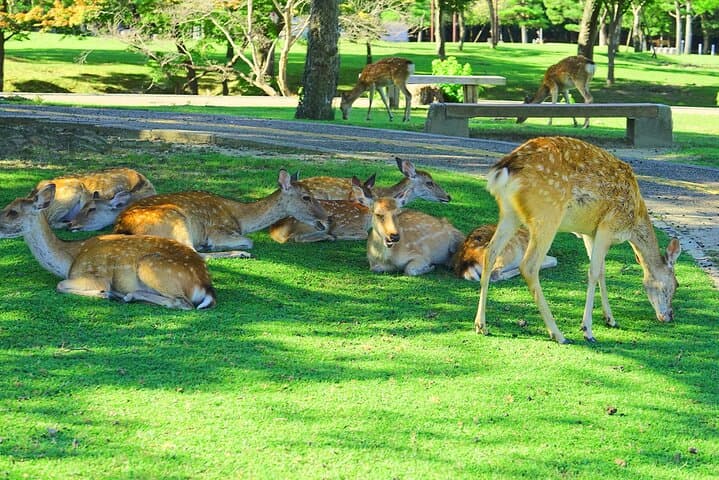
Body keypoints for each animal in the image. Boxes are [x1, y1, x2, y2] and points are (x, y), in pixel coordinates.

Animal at [0, 184, 215, 310]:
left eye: (13, 212)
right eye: (7, 207)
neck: (69, 259)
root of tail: (205, 285)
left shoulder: (94, 276)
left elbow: (60, 285)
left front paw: (107, 293)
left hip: (152, 266)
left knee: (182, 302)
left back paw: (125, 295)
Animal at [112, 169, 328, 258]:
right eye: (306, 197)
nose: (327, 219)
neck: (241, 217)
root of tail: (121, 227)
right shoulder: (218, 230)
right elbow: (249, 240)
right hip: (175, 219)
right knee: (193, 252)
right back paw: (239, 253)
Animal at [473, 136, 681, 344]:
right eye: (676, 284)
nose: (669, 316)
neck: (633, 222)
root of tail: (503, 170)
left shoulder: (590, 232)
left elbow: (602, 272)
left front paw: (610, 319)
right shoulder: (608, 225)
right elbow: (594, 272)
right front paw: (587, 329)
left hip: (510, 213)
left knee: (490, 253)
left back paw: (481, 326)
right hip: (547, 214)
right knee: (529, 266)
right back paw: (558, 334)